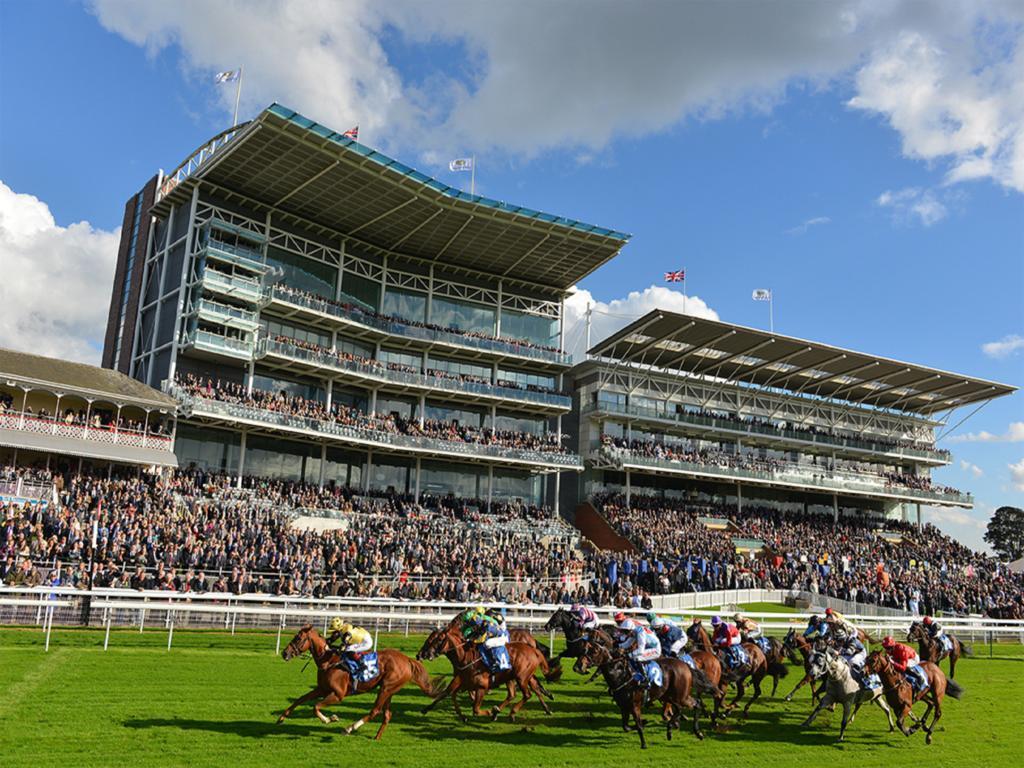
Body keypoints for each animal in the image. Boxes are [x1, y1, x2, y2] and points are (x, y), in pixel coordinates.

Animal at [280, 626, 440, 741]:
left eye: (298, 638)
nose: (284, 653)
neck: (329, 661)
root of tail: (407, 659)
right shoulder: (322, 689)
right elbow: (301, 699)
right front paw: (281, 717)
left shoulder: (338, 694)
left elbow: (316, 706)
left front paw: (330, 719)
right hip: (389, 689)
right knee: (387, 714)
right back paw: (377, 737)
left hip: (386, 688)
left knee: (375, 711)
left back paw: (349, 728)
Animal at [415, 622, 557, 724]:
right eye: (429, 639)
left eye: (439, 639)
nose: (422, 654)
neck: (466, 657)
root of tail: (533, 649)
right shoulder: (462, 681)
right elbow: (448, 693)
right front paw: (426, 709)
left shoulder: (481, 686)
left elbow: (475, 709)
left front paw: (491, 712)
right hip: (513, 677)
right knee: (516, 693)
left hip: (521, 677)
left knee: (527, 694)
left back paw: (510, 713)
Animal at [573, 638, 716, 753]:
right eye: (583, 650)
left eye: (594, 651)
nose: (577, 667)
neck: (621, 675)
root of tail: (685, 665)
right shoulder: (623, 707)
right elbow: (626, 726)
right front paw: (645, 722)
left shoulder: (635, 705)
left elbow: (638, 725)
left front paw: (644, 744)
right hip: (668, 696)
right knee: (679, 709)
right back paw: (670, 730)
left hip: (681, 696)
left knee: (696, 704)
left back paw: (698, 732)